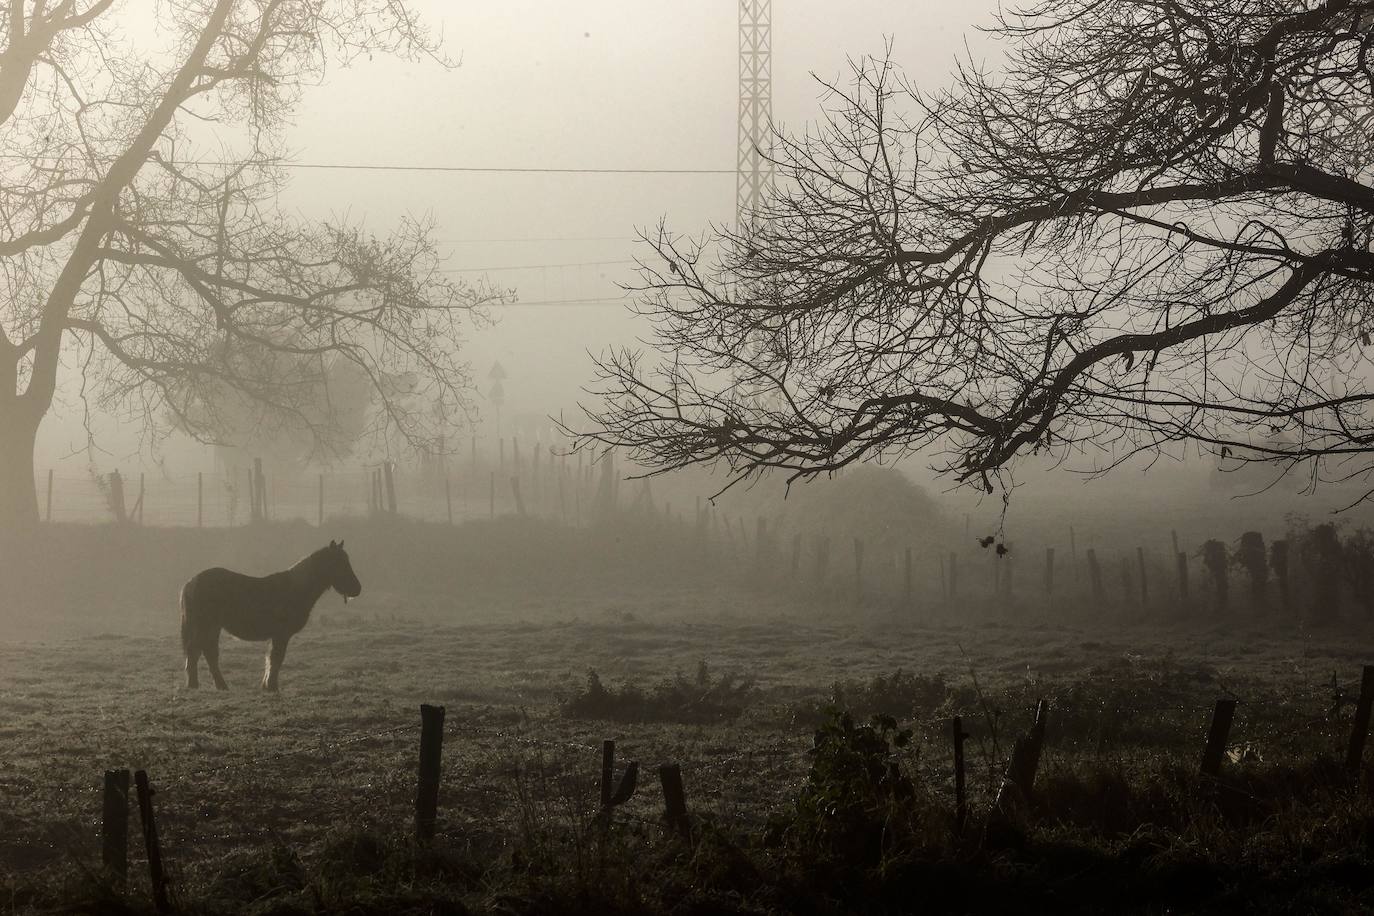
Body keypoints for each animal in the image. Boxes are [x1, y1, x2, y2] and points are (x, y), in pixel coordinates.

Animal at [179, 541, 362, 692]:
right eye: (338, 563)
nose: (357, 589)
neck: (295, 589)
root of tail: (190, 582)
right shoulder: (281, 635)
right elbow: (276, 658)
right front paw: (271, 686)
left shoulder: (278, 635)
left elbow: (272, 658)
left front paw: (267, 685)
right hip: (205, 625)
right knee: (195, 651)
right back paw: (196, 684)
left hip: (212, 627)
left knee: (206, 652)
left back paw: (218, 685)